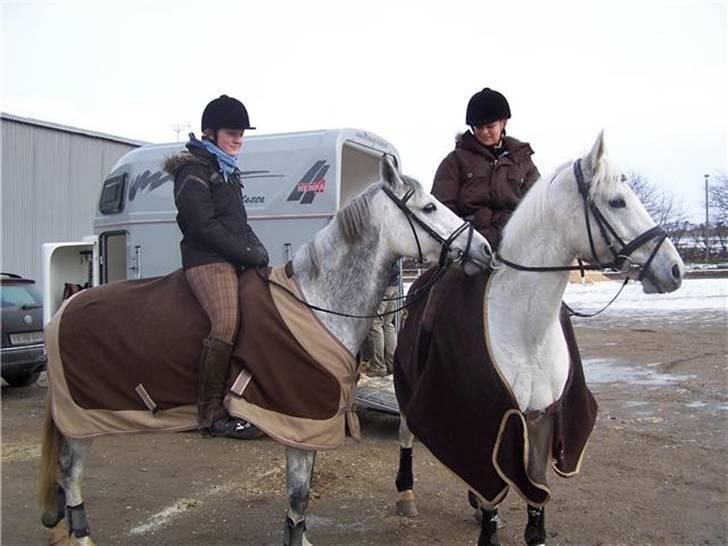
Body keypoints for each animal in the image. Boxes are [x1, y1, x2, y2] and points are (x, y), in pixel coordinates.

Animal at [39, 155, 492, 540]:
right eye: (429, 207)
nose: (485, 250)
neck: (315, 303)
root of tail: (66, 307)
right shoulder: (298, 422)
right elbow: (297, 498)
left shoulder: (310, 426)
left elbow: (301, 503)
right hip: (81, 420)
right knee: (71, 477)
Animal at [392, 133, 684, 544]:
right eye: (617, 201)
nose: (674, 269)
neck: (525, 328)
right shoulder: (483, 417)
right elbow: (493, 493)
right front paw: (487, 527)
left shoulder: (542, 417)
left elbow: (535, 489)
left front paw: (533, 530)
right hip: (407, 386)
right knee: (405, 432)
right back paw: (405, 493)